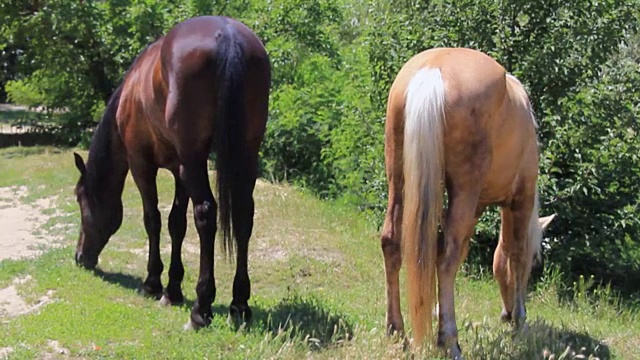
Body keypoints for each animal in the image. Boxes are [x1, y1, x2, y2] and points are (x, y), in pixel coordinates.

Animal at [72, 17, 270, 332]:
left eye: (80, 200)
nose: (80, 257)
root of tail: (227, 36)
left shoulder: (142, 164)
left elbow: (152, 219)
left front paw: (152, 283)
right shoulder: (179, 170)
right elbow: (177, 223)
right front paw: (173, 289)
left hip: (195, 159)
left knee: (206, 214)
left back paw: (201, 309)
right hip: (245, 153)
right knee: (243, 216)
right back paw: (239, 306)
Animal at [380, 47, 552, 358]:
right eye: (537, 261)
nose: (506, 314)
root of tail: (433, 70)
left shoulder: (476, 206)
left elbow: (465, 252)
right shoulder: (520, 199)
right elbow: (516, 253)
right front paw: (520, 321)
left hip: (398, 178)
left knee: (392, 242)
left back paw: (397, 330)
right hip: (464, 188)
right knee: (445, 258)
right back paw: (449, 341)